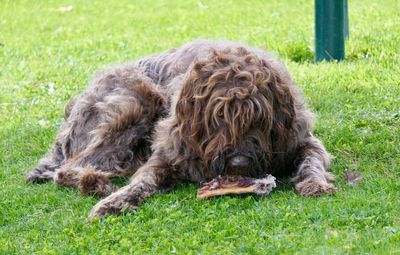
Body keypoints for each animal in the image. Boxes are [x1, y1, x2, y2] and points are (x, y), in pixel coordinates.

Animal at [26, 40, 336, 218]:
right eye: (218, 116)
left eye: (259, 118)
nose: (239, 163)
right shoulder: (167, 154)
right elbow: (143, 180)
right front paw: (116, 201)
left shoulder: (300, 140)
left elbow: (312, 159)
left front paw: (315, 182)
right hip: (135, 103)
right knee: (68, 169)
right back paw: (96, 183)